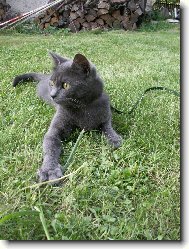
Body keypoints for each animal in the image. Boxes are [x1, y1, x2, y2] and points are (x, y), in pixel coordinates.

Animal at [13, 52, 122, 183]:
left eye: (66, 85)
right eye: (52, 84)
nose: (52, 95)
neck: (84, 106)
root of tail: (44, 76)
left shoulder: (105, 112)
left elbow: (107, 127)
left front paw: (114, 139)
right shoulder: (56, 126)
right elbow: (50, 145)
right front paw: (49, 170)